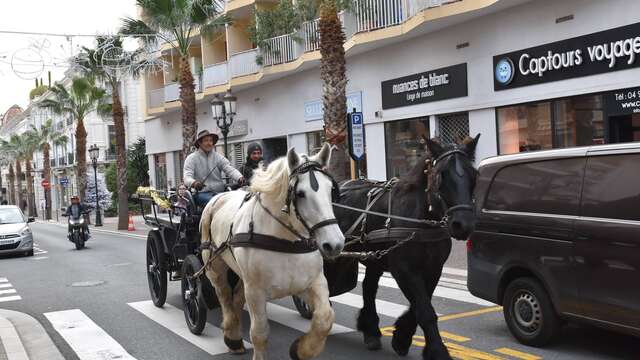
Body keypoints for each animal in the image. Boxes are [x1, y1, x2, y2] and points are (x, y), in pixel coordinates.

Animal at [201, 144, 344, 360]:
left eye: (330, 190)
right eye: (300, 193)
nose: (335, 244)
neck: (285, 241)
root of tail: (218, 196)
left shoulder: (312, 283)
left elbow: (325, 319)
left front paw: (301, 350)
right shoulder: (256, 292)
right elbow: (259, 333)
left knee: (236, 297)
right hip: (215, 266)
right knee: (224, 294)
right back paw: (232, 336)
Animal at [336, 136, 480, 360]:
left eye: (474, 175)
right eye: (440, 176)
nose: (463, 224)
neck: (421, 218)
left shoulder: (433, 269)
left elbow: (420, 305)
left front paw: (402, 337)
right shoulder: (403, 269)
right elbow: (425, 310)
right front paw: (437, 350)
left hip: (375, 258)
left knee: (369, 287)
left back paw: (371, 331)